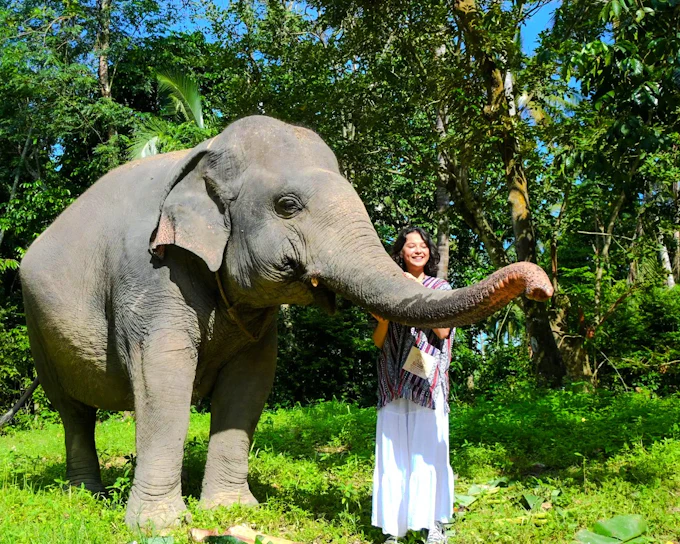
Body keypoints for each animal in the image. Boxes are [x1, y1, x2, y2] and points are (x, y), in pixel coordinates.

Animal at [19, 115, 553, 531]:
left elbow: (251, 381)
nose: (541, 286)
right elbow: (164, 375)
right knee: (73, 411)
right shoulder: (150, 273)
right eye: (288, 206)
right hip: (36, 324)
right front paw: (159, 527)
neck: (203, 153)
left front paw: (232, 511)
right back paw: (87, 496)